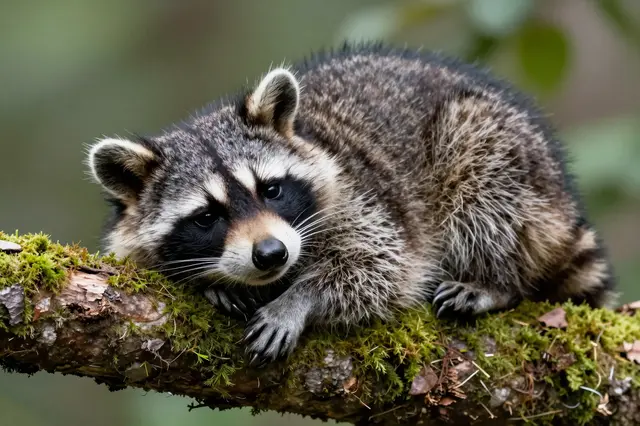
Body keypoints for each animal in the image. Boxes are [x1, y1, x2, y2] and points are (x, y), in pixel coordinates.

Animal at [87, 43, 616, 367]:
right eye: (207, 217)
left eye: (271, 190)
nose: (271, 255)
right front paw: (214, 285)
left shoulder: (362, 196)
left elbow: (378, 266)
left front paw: (300, 299)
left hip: (499, 151)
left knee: (487, 199)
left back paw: (495, 281)